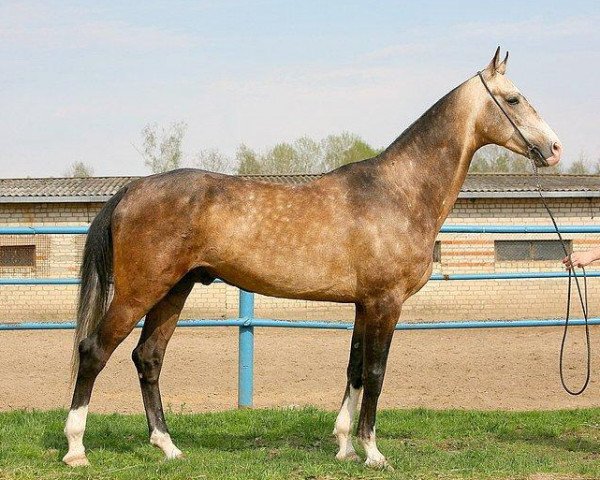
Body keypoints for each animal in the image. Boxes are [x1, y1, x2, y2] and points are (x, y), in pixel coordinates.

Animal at [65, 49, 564, 468]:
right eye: (514, 99)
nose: (554, 149)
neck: (398, 192)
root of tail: (132, 189)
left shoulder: (364, 304)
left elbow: (355, 369)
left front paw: (344, 446)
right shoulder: (386, 303)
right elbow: (376, 372)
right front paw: (373, 452)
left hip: (174, 290)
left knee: (148, 357)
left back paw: (168, 447)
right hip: (140, 290)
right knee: (93, 351)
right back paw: (76, 449)